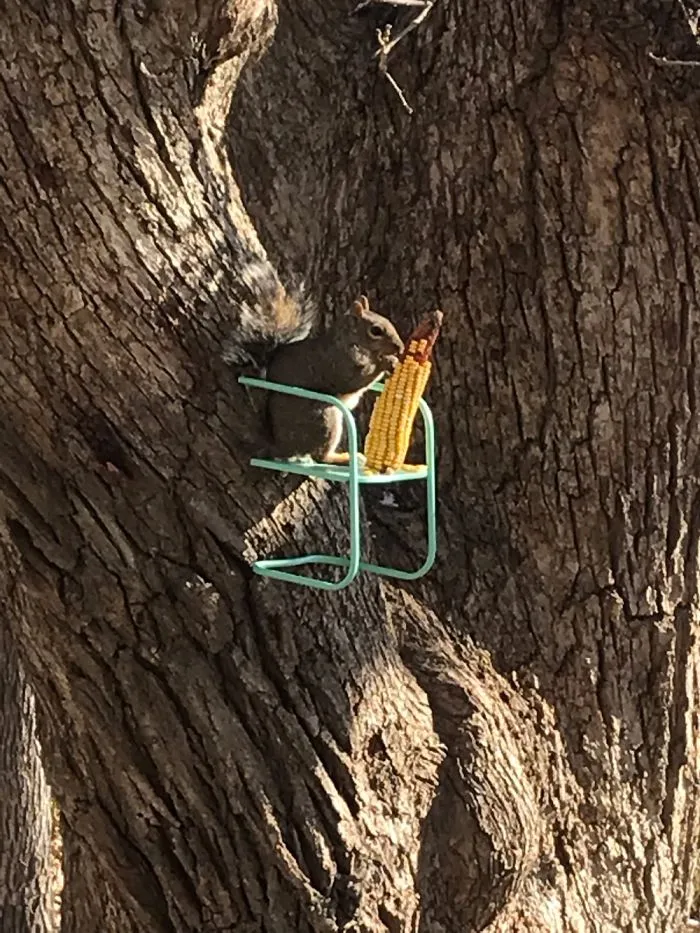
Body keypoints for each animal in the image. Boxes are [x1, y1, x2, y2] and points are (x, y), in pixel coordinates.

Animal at [224, 257, 404, 463]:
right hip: (324, 417)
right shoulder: (336, 363)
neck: (350, 342)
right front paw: (385, 362)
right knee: (320, 457)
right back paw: (344, 458)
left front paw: (391, 361)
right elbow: (354, 381)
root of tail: (280, 446)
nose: (400, 348)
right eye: (375, 330)